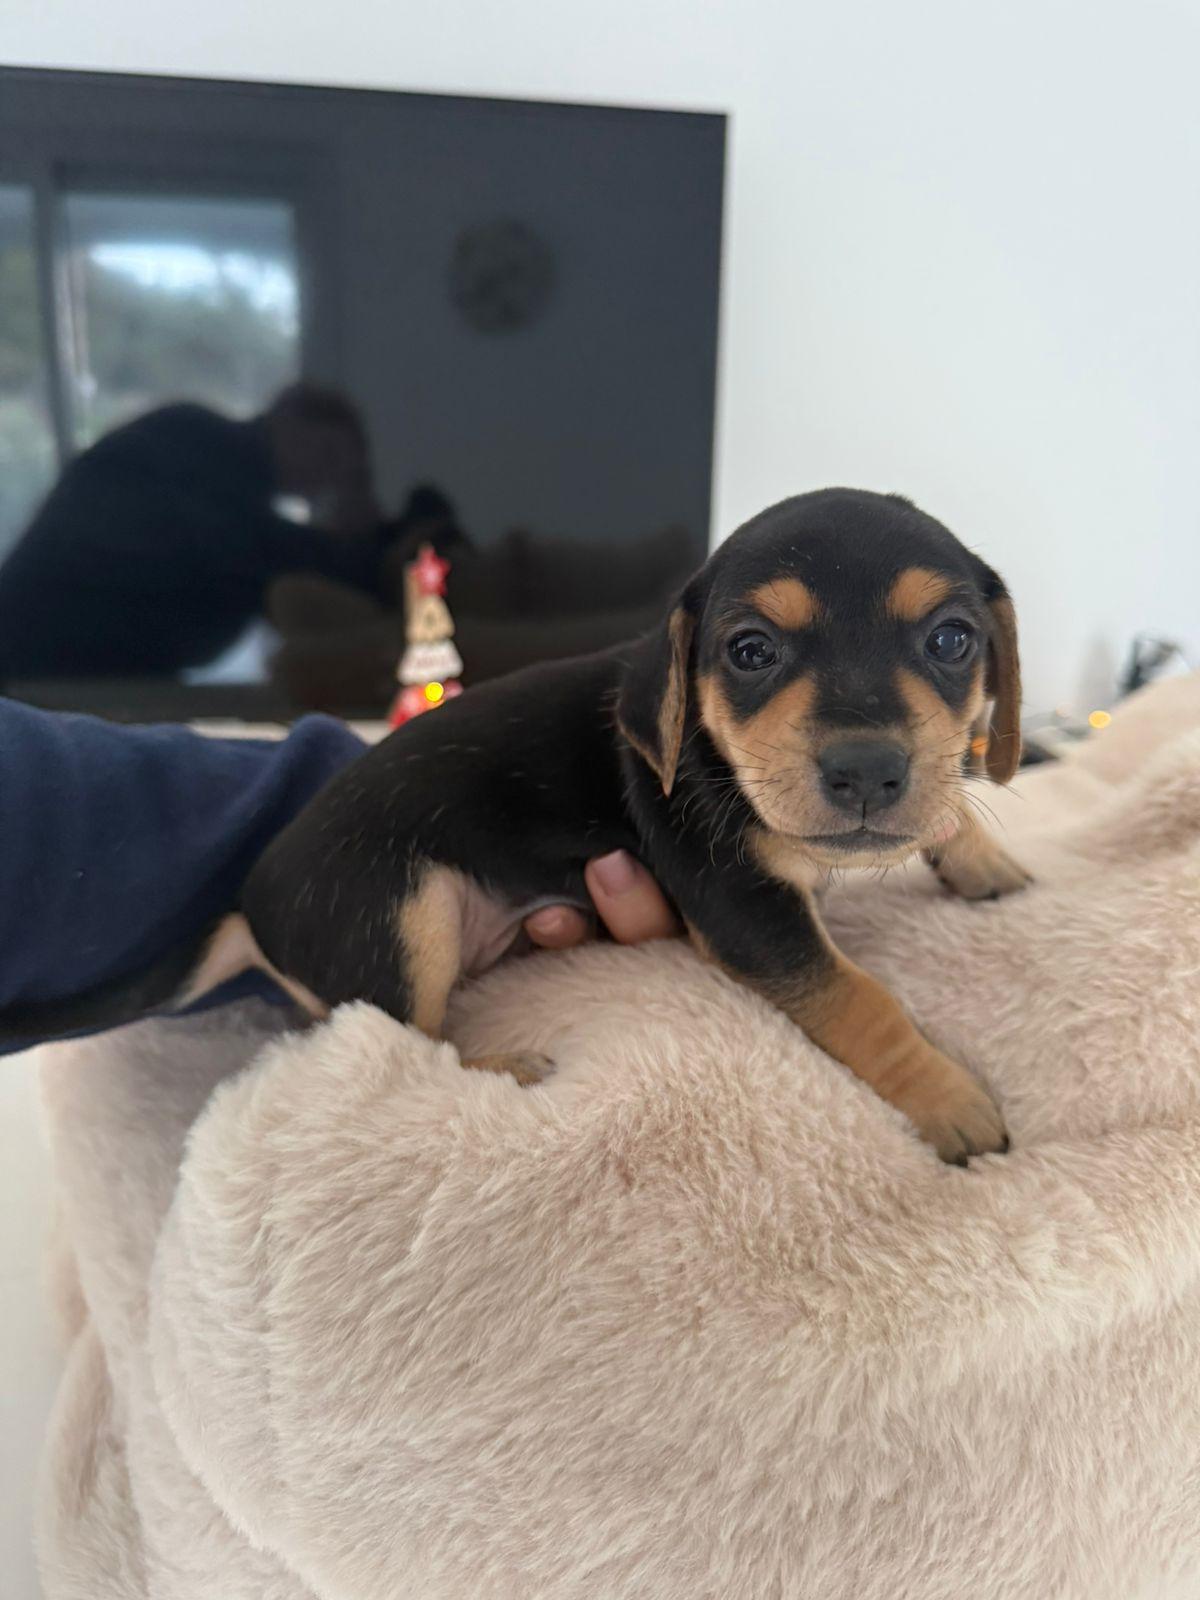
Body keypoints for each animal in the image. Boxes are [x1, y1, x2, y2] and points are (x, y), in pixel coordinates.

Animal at [7, 489, 1028, 1162]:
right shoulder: (747, 909)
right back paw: (508, 1067)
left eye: (951, 641)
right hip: (404, 907)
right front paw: (948, 1100)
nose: (867, 771)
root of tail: (248, 903)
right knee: (397, 1041)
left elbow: (948, 788)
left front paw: (981, 855)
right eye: (750, 651)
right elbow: (860, 998)